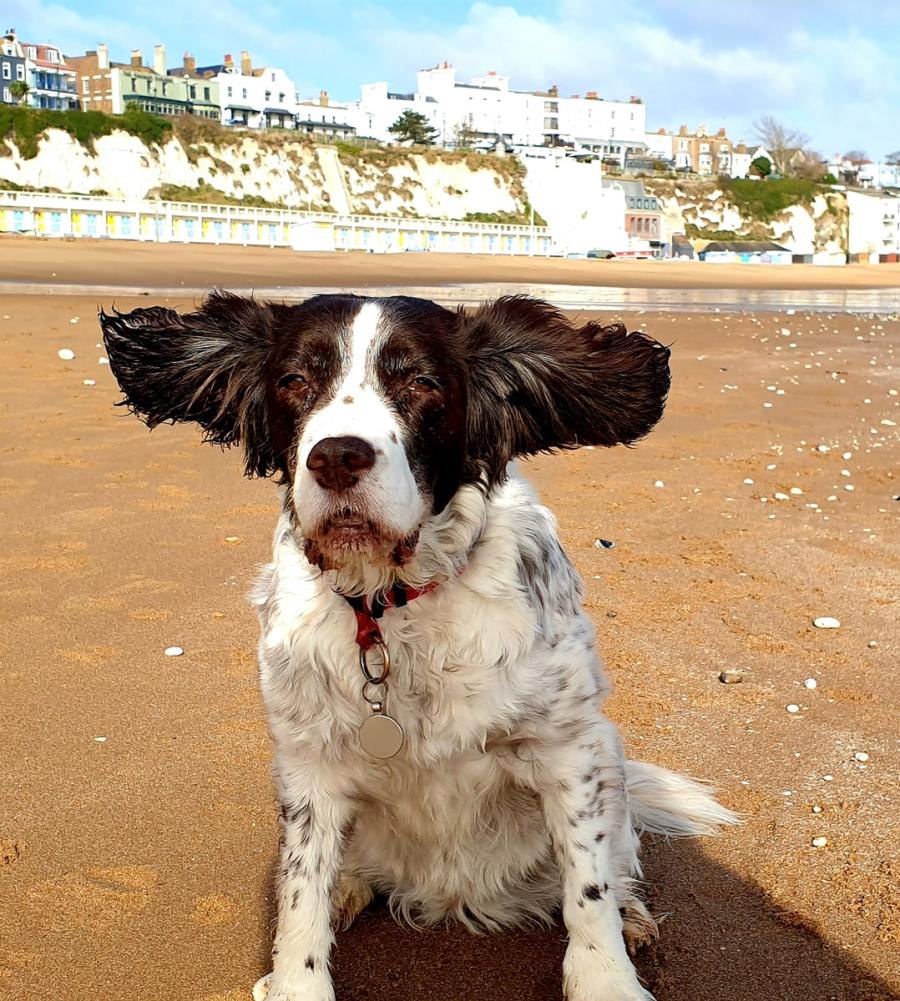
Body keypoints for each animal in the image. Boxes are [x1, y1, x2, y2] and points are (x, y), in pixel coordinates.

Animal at [102, 292, 736, 1001]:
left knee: (615, 865)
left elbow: (587, 887)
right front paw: (296, 976)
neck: (391, 606)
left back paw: (632, 916)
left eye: (422, 383)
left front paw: (606, 977)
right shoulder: (307, 763)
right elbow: (299, 894)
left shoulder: (569, 746)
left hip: (611, 759)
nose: (336, 457)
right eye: (294, 381)